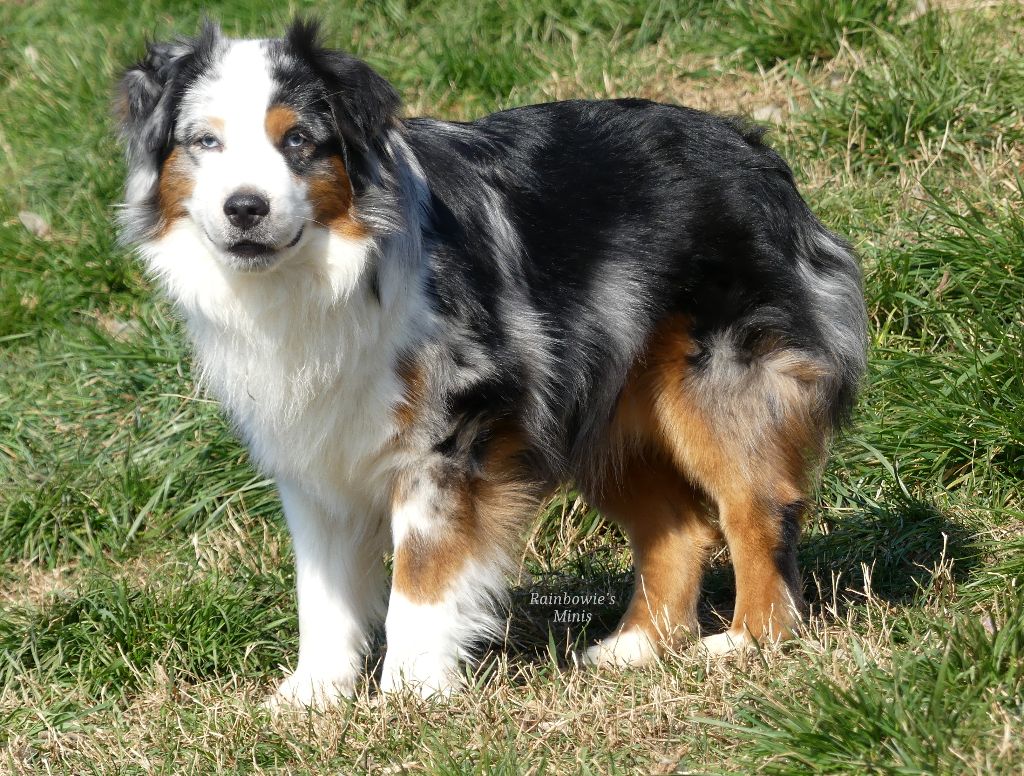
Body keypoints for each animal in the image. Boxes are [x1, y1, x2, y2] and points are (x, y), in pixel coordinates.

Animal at [117, 19, 872, 712]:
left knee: (758, 505)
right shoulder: (314, 453)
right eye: (205, 142)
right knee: (681, 525)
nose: (245, 208)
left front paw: (410, 694)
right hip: (597, 403)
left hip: (714, 382)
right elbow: (322, 593)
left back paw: (749, 641)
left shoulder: (447, 435)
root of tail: (756, 154)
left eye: (297, 140)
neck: (327, 273)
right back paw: (636, 647)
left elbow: (420, 581)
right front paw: (313, 696)